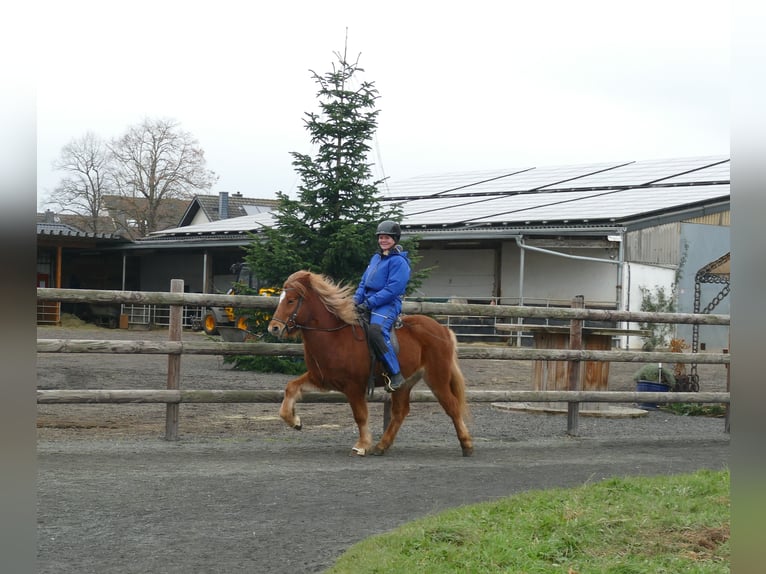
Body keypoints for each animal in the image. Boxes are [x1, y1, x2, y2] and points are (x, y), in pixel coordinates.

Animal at [267, 270, 474, 457]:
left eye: (291, 300)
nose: (274, 328)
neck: (334, 336)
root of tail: (443, 330)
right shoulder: (320, 379)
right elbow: (291, 388)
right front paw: (294, 421)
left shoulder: (354, 386)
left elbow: (360, 415)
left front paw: (362, 445)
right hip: (405, 383)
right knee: (400, 412)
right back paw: (381, 446)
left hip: (437, 378)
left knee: (452, 406)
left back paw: (467, 445)